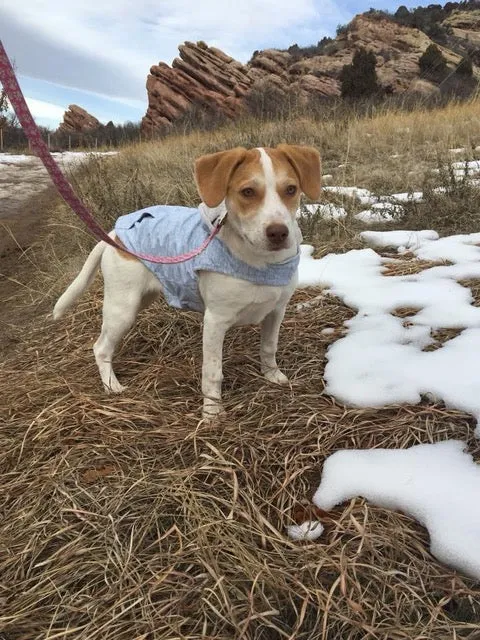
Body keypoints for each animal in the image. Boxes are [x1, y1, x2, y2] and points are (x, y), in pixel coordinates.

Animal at [52, 142, 320, 418]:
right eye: (247, 192)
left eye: (291, 189)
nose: (278, 233)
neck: (261, 262)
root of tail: (115, 234)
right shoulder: (215, 322)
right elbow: (213, 372)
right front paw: (212, 413)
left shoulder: (276, 311)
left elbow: (268, 347)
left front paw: (272, 376)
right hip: (122, 308)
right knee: (101, 347)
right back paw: (111, 386)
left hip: (141, 299)